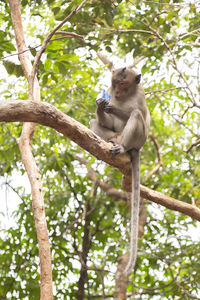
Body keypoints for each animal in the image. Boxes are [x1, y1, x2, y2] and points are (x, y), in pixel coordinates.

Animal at [90, 64, 150, 276]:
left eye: (123, 84)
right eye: (115, 83)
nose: (115, 93)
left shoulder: (141, 95)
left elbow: (140, 116)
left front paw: (112, 106)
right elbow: (104, 121)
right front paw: (101, 106)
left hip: (136, 142)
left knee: (136, 115)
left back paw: (123, 148)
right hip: (112, 136)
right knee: (95, 124)